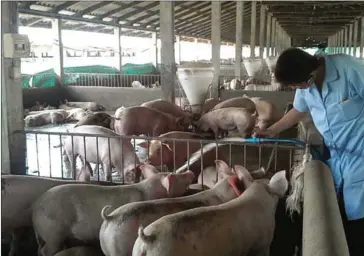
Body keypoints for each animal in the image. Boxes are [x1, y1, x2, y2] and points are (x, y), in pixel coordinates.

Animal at [32, 164, 196, 256]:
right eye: (176, 177)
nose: (190, 172)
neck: (148, 191)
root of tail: (34, 210)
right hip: (53, 231)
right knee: (46, 250)